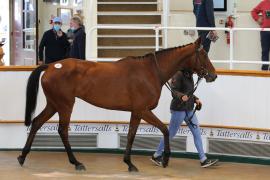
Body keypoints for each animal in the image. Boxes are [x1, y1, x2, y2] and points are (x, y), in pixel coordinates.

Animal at [17, 37, 217, 172]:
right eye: (203, 54)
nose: (213, 75)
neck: (151, 71)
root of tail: (51, 66)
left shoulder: (136, 112)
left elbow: (131, 134)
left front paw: (129, 162)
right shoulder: (142, 110)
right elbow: (163, 129)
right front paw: (163, 159)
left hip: (53, 104)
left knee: (37, 122)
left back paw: (22, 157)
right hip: (65, 105)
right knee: (62, 130)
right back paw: (76, 162)